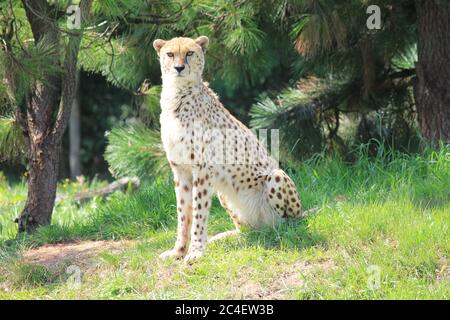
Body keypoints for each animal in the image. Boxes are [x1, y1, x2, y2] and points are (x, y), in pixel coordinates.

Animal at [153, 37, 304, 262]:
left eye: (189, 53)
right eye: (170, 54)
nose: (179, 68)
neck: (177, 96)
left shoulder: (202, 170)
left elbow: (198, 212)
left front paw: (196, 251)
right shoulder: (180, 169)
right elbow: (183, 214)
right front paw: (178, 252)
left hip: (276, 177)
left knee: (287, 224)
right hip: (225, 196)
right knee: (249, 231)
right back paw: (225, 237)